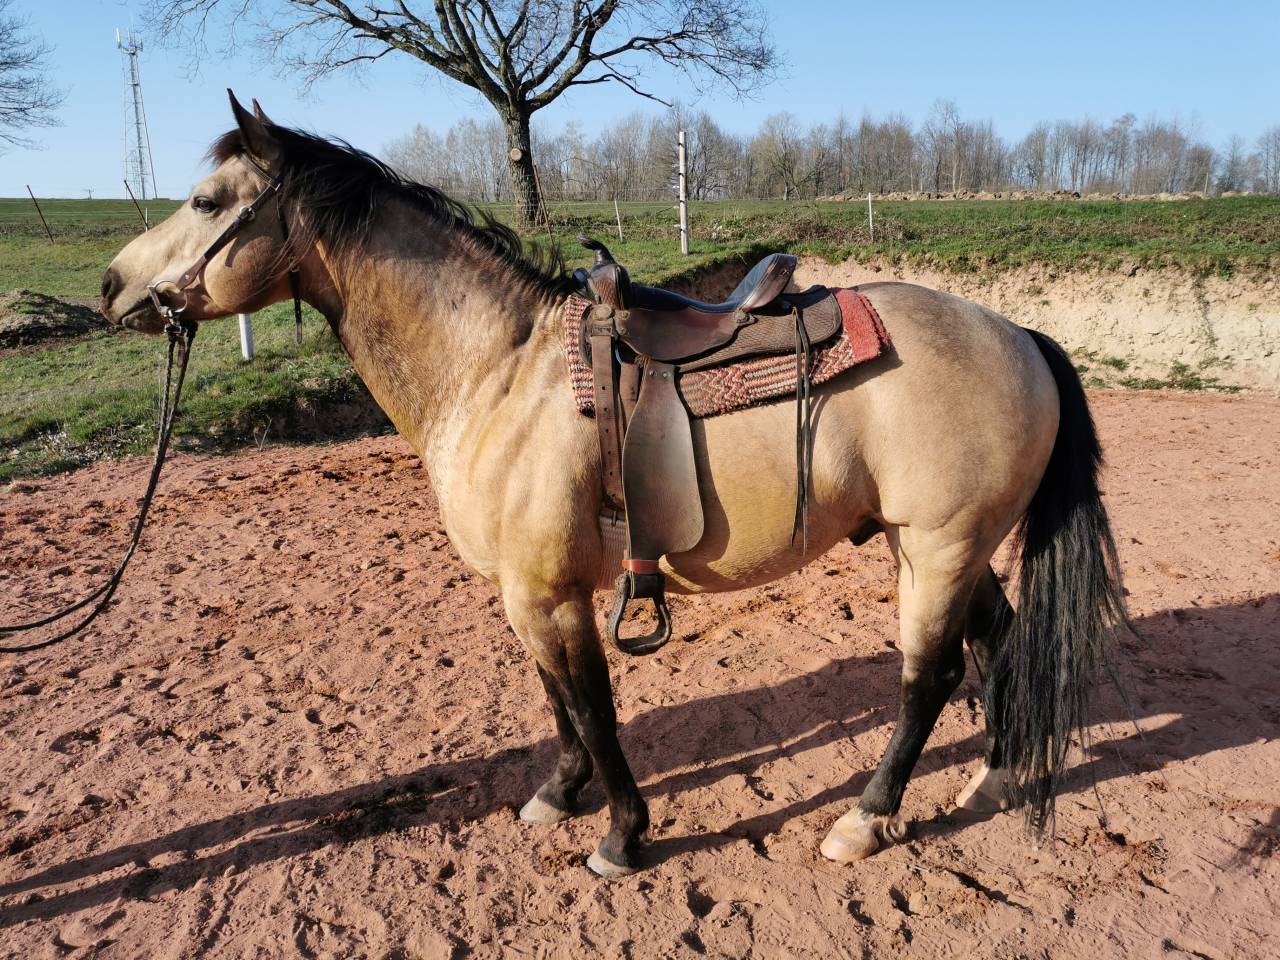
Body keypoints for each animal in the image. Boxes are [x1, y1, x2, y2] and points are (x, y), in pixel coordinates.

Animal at [98, 93, 1128, 878]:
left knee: (929, 678)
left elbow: (592, 709)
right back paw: (995, 776)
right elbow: (557, 701)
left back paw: (864, 819)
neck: (499, 373)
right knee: (998, 644)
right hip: (954, 548)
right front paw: (559, 795)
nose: (111, 287)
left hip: (940, 548)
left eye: (203, 199)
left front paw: (623, 836)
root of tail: (1019, 336)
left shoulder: (551, 593)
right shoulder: (526, 592)